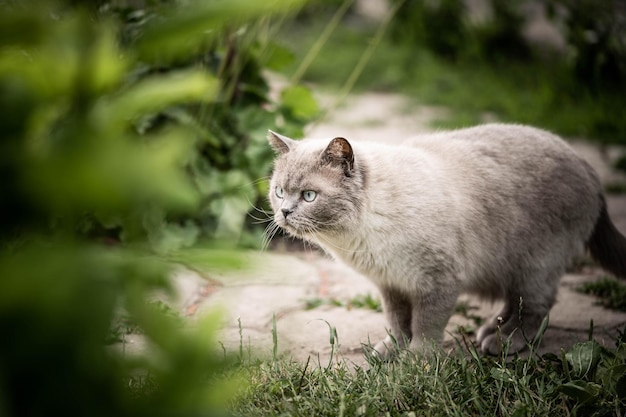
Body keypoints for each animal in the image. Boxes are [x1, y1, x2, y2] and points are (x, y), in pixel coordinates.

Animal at [264, 122, 624, 354]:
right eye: (279, 192)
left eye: (309, 196)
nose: (285, 212)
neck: (360, 239)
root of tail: (586, 166)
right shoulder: (392, 283)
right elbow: (398, 322)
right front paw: (389, 352)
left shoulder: (437, 280)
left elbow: (426, 324)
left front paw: (416, 359)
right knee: (516, 302)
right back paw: (490, 330)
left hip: (535, 265)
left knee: (536, 307)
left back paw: (503, 341)